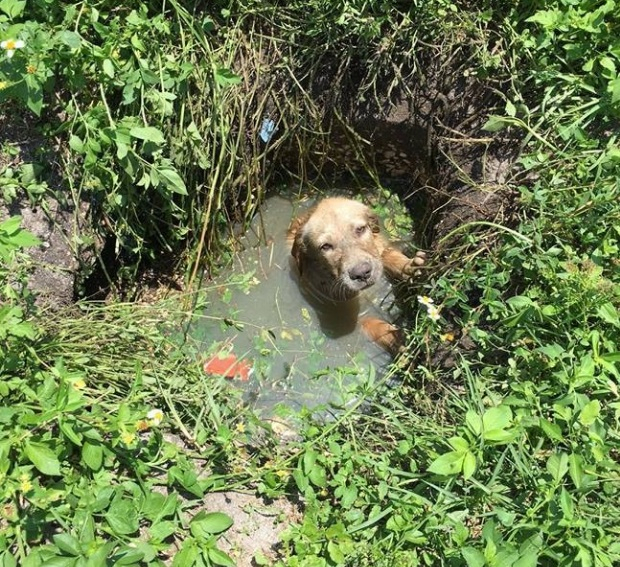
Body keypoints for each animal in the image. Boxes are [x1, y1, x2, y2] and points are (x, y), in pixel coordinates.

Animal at [286, 197, 426, 352]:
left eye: (360, 229)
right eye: (325, 246)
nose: (362, 274)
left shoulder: (379, 248)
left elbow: (388, 255)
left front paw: (409, 266)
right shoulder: (346, 315)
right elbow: (372, 323)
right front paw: (397, 338)